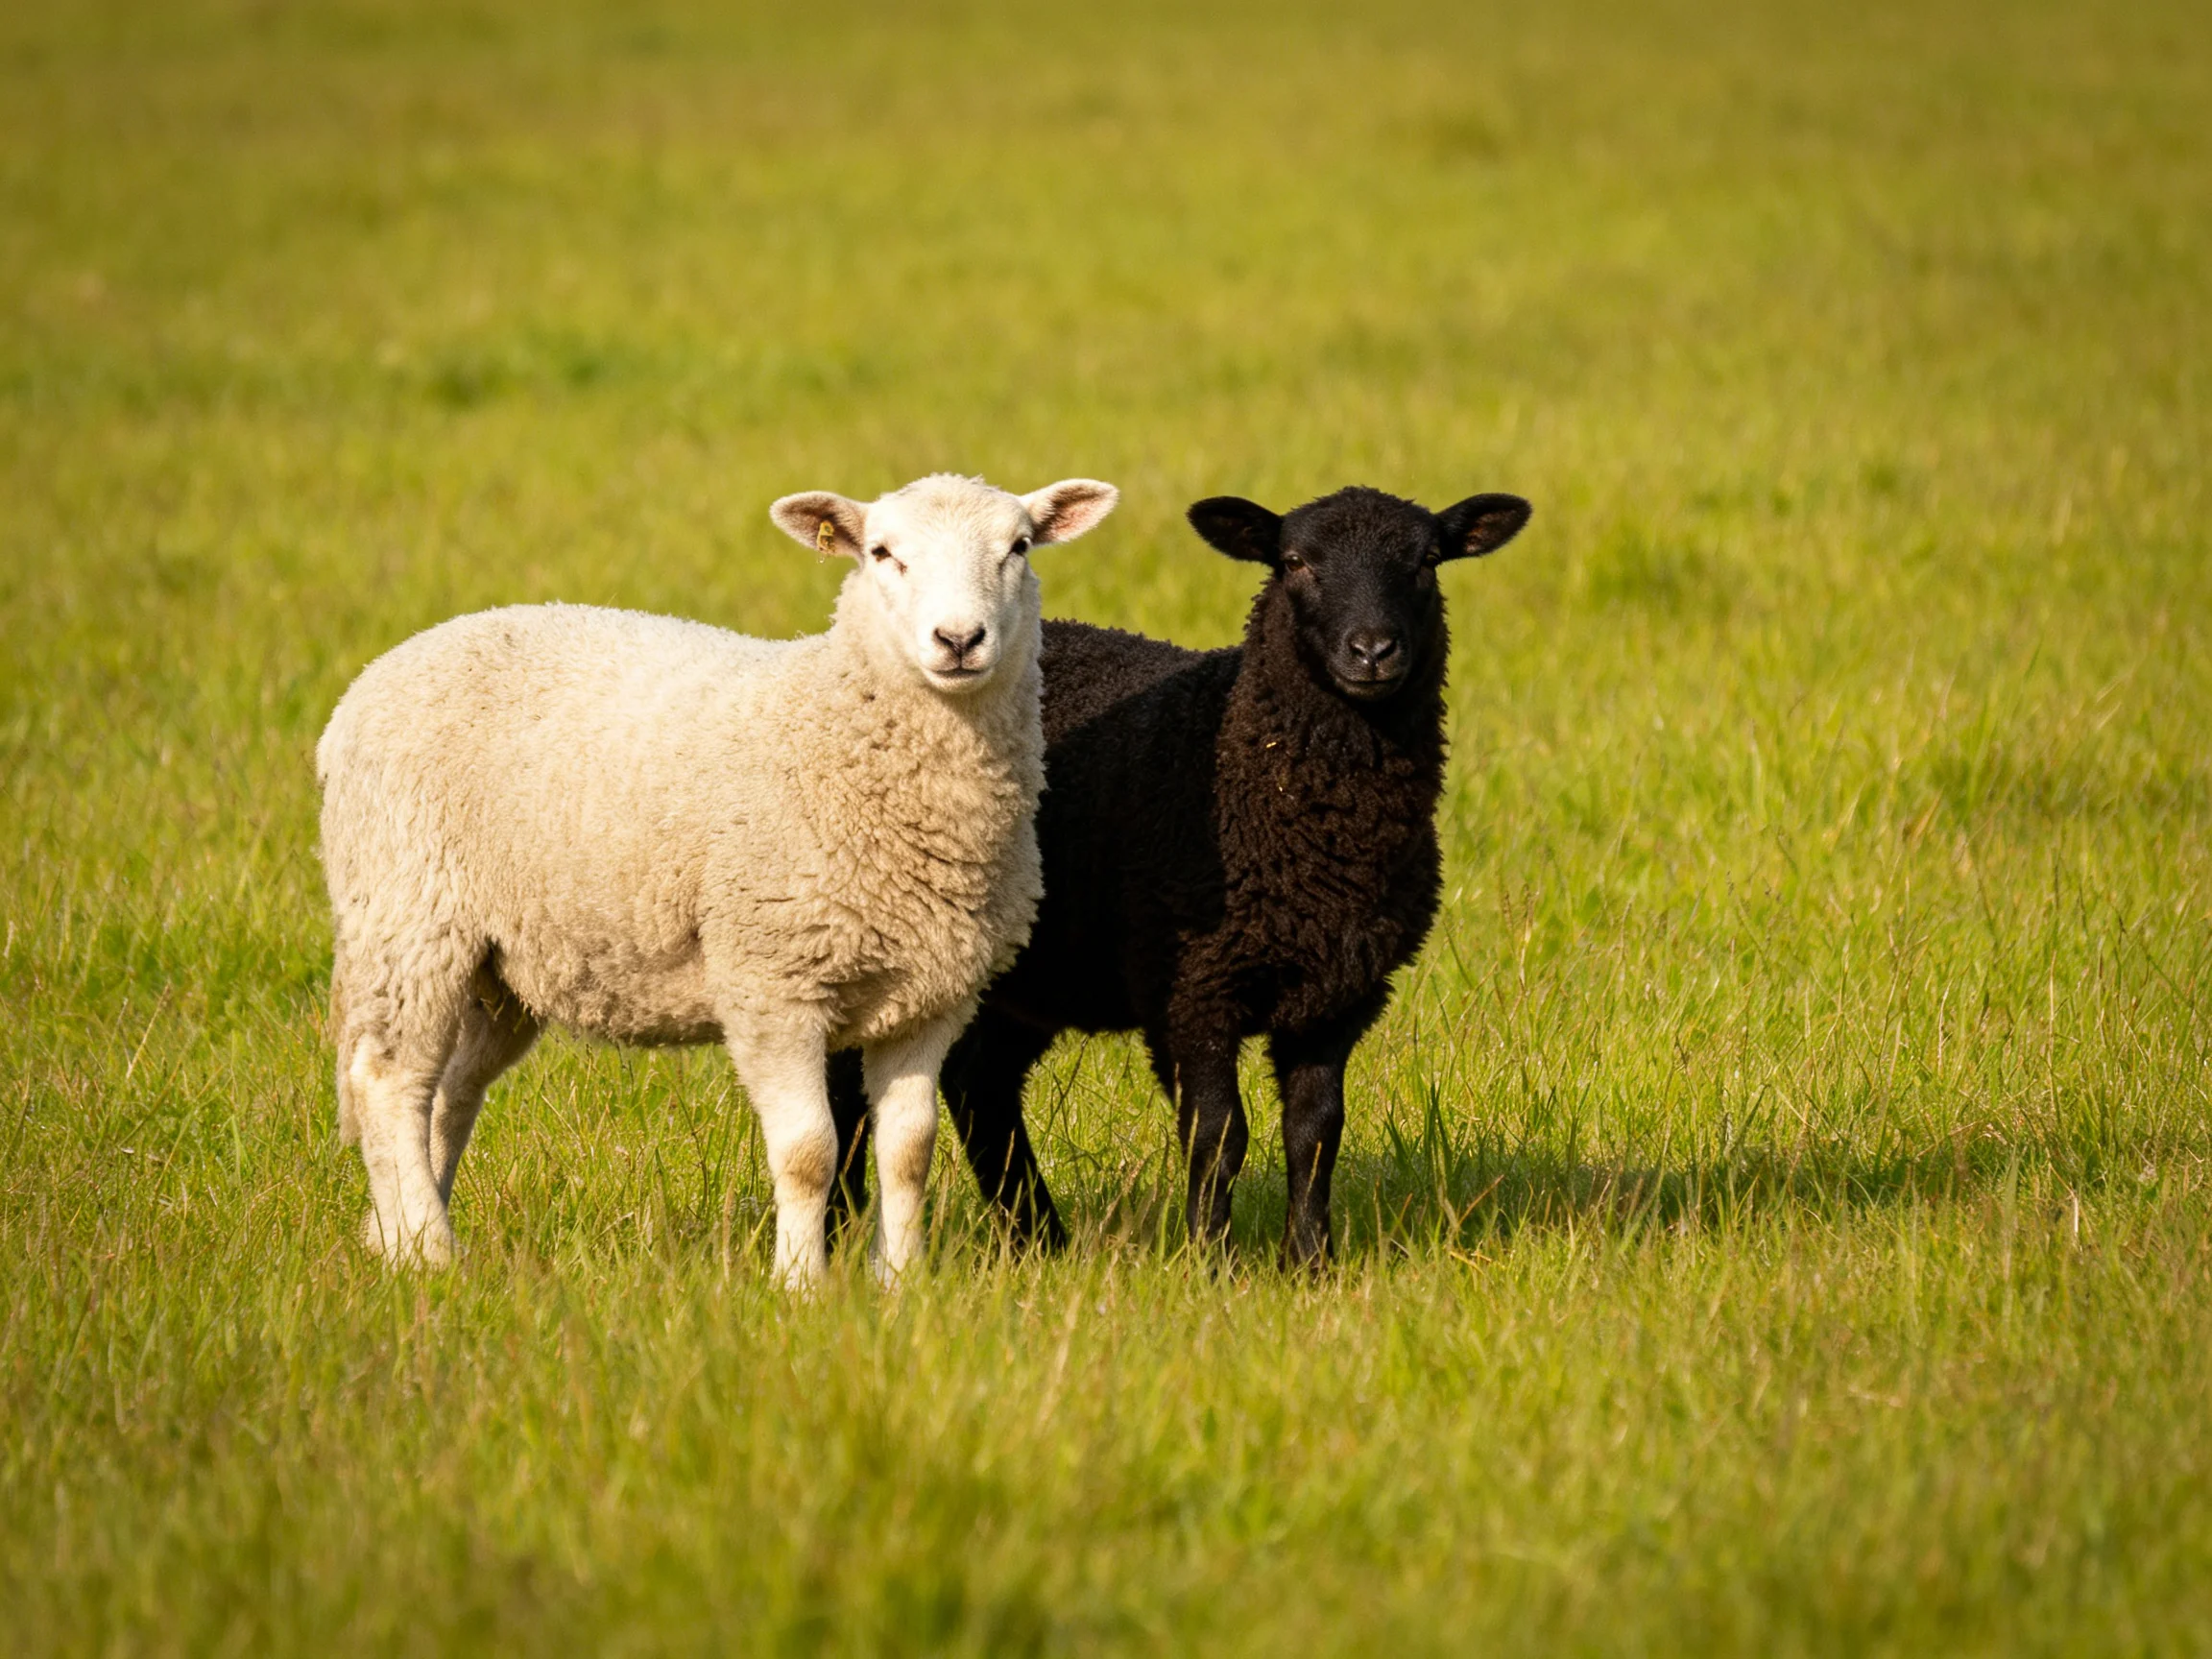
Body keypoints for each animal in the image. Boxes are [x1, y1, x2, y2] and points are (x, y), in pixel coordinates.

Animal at [315, 472, 1119, 1286]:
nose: (958, 641)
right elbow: (808, 1153)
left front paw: (900, 1283)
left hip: (504, 965)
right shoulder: (772, 982)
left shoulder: (932, 996)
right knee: (388, 1081)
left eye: (1019, 547)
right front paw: (799, 1284)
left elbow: (909, 1150)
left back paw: (394, 1235)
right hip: (407, 916)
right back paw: (428, 1252)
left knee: (448, 1092)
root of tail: (369, 684)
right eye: (882, 553)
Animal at [826, 485, 1530, 1267]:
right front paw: (1209, 1263)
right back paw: (839, 1231)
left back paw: (1041, 1240)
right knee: (849, 1090)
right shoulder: (1192, 988)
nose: (1372, 651)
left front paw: (1311, 1263)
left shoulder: (1336, 995)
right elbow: (1218, 1134)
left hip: (1036, 972)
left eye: (1427, 560)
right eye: (1294, 562)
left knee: (980, 1080)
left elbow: (1315, 1133)